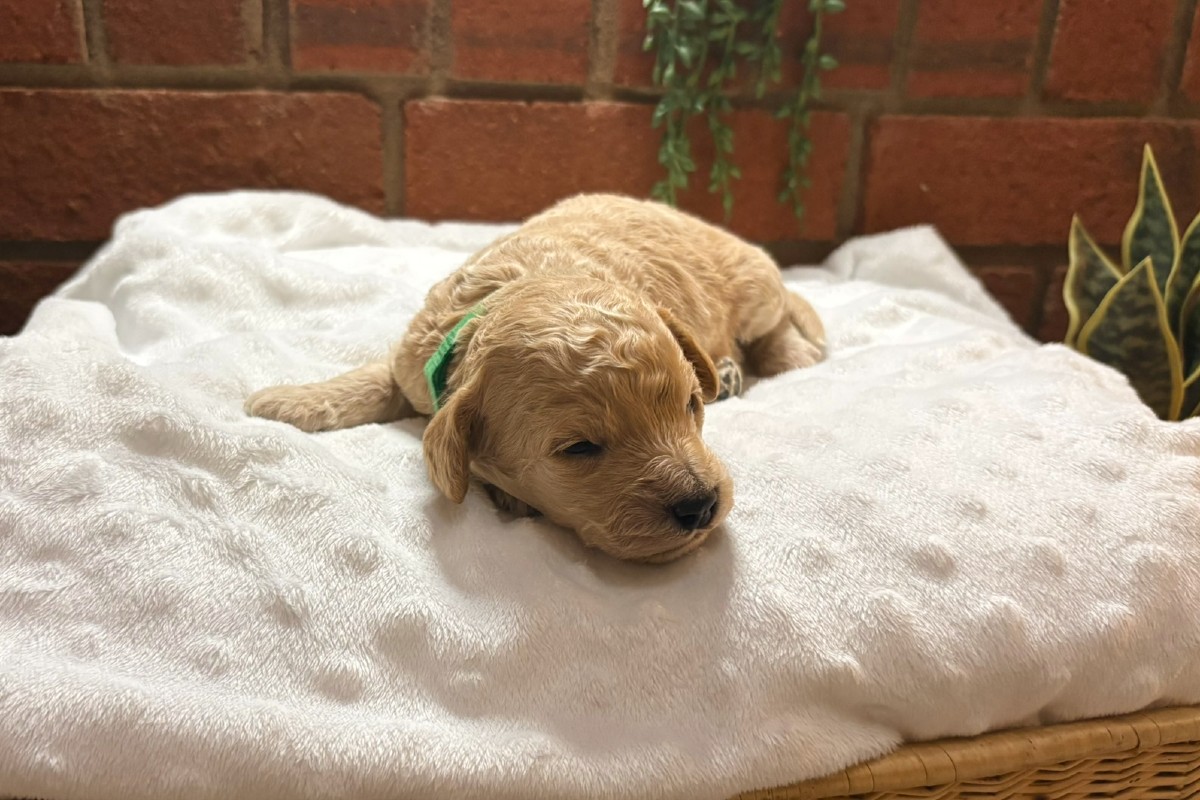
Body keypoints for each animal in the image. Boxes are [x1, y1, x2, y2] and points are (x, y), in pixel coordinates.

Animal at [245, 194, 825, 562]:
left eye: (689, 406)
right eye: (579, 449)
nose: (701, 505)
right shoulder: (413, 360)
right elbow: (374, 378)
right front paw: (286, 402)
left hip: (754, 286)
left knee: (772, 333)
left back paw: (774, 360)